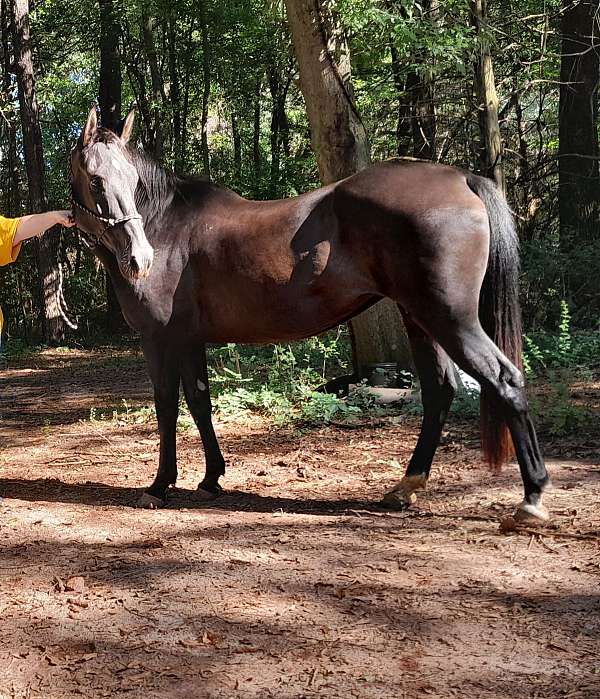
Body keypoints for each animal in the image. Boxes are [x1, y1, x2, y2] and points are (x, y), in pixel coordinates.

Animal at [70, 108, 552, 524]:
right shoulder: (190, 340)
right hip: (421, 319)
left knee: (504, 379)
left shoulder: (160, 339)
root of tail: (462, 179)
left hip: (451, 319)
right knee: (439, 389)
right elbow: (200, 402)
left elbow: (168, 406)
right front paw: (210, 478)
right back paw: (405, 487)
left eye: (132, 180)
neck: (168, 225)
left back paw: (532, 497)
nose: (140, 258)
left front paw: (159, 485)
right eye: (96, 180)